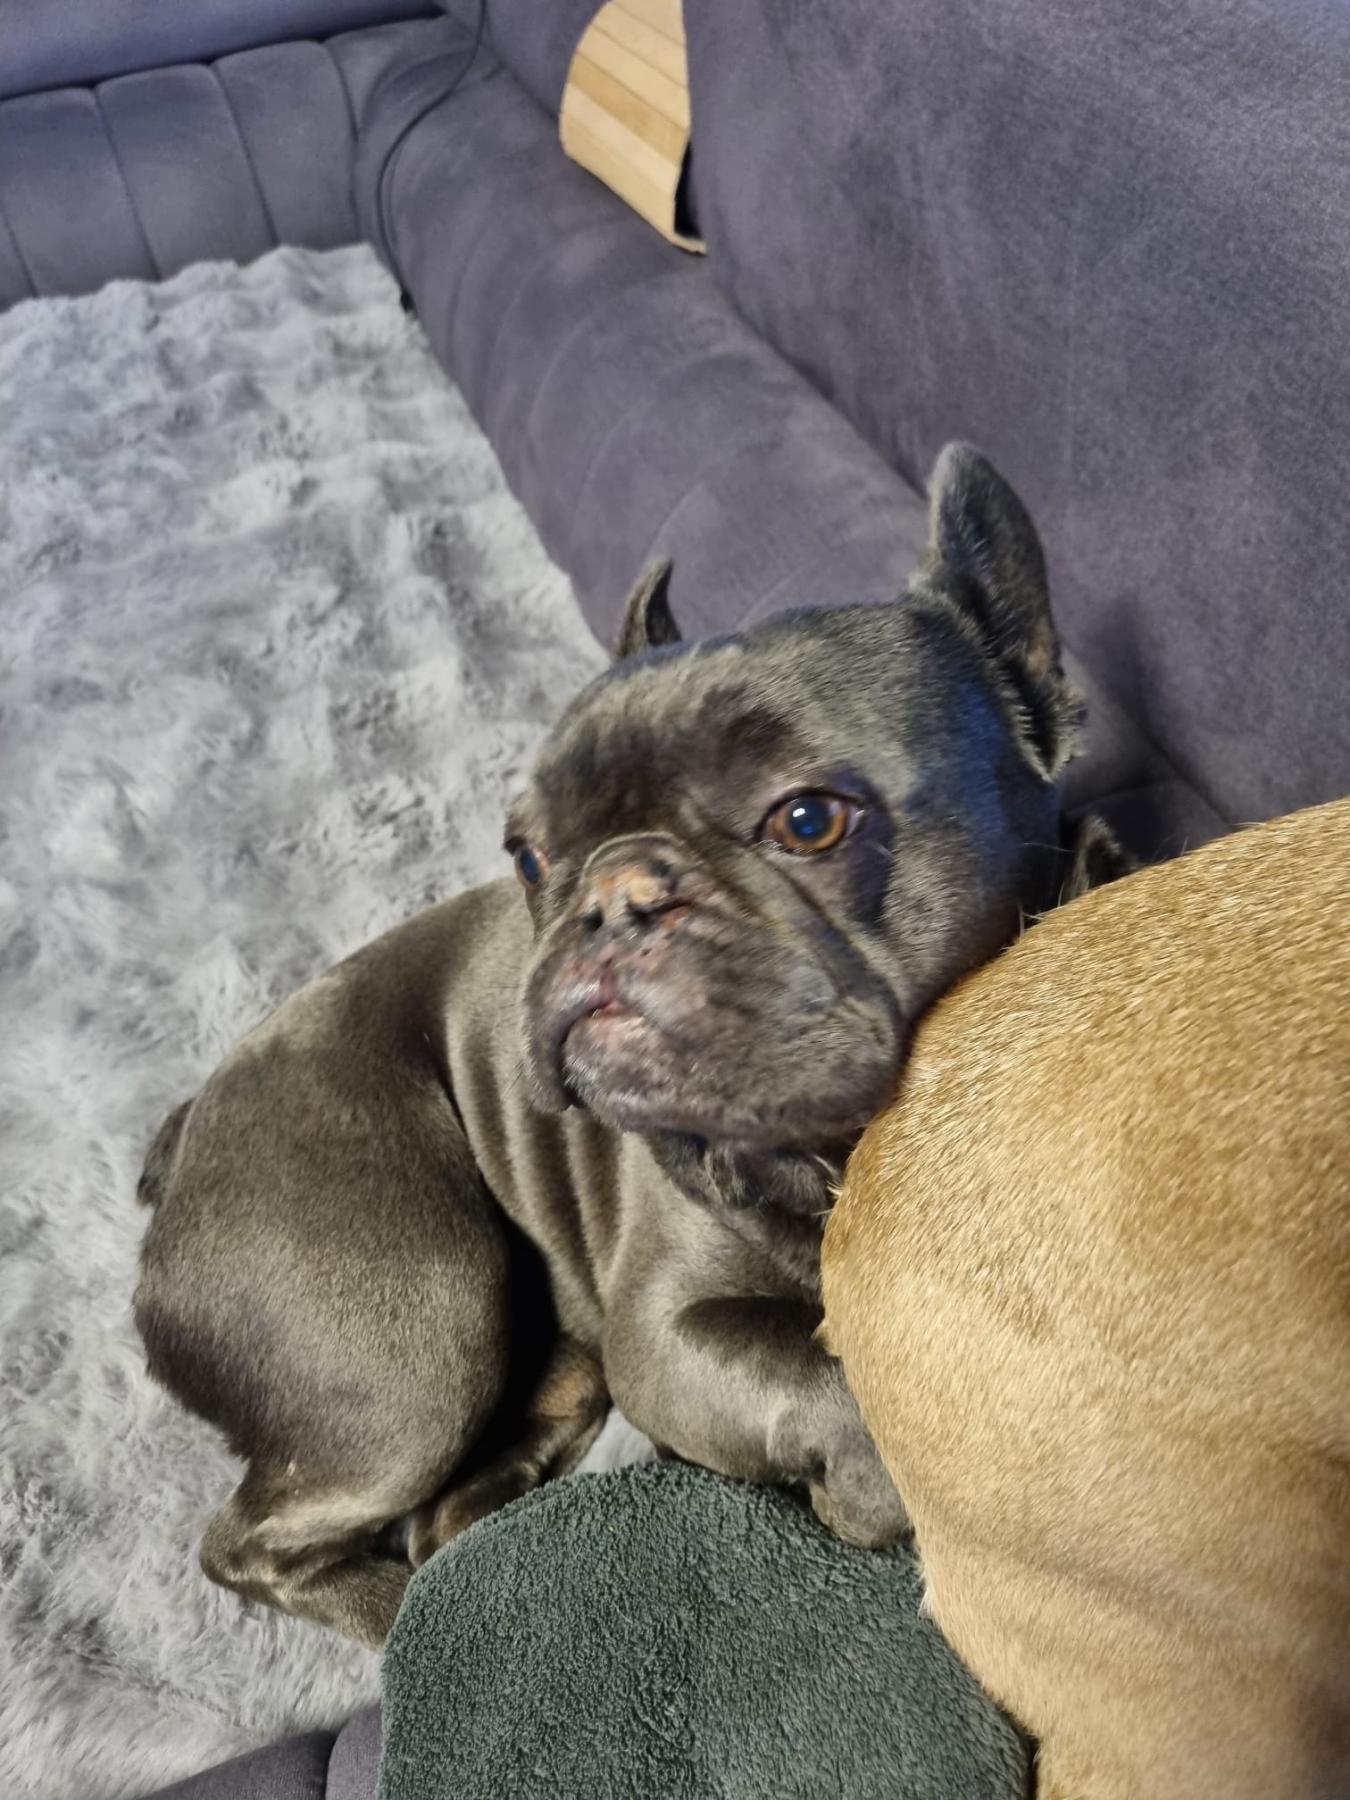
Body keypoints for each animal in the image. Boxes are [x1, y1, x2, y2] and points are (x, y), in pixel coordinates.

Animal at [135, 443, 1122, 1647]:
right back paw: (406, 1618)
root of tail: (186, 1135)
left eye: (808, 820)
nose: (611, 893)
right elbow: (834, 1380)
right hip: (407, 1325)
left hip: (536, 1355)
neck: (840, 1156)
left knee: (450, 1504)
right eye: (525, 855)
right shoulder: (666, 1327)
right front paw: (886, 1484)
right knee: (257, 1541)